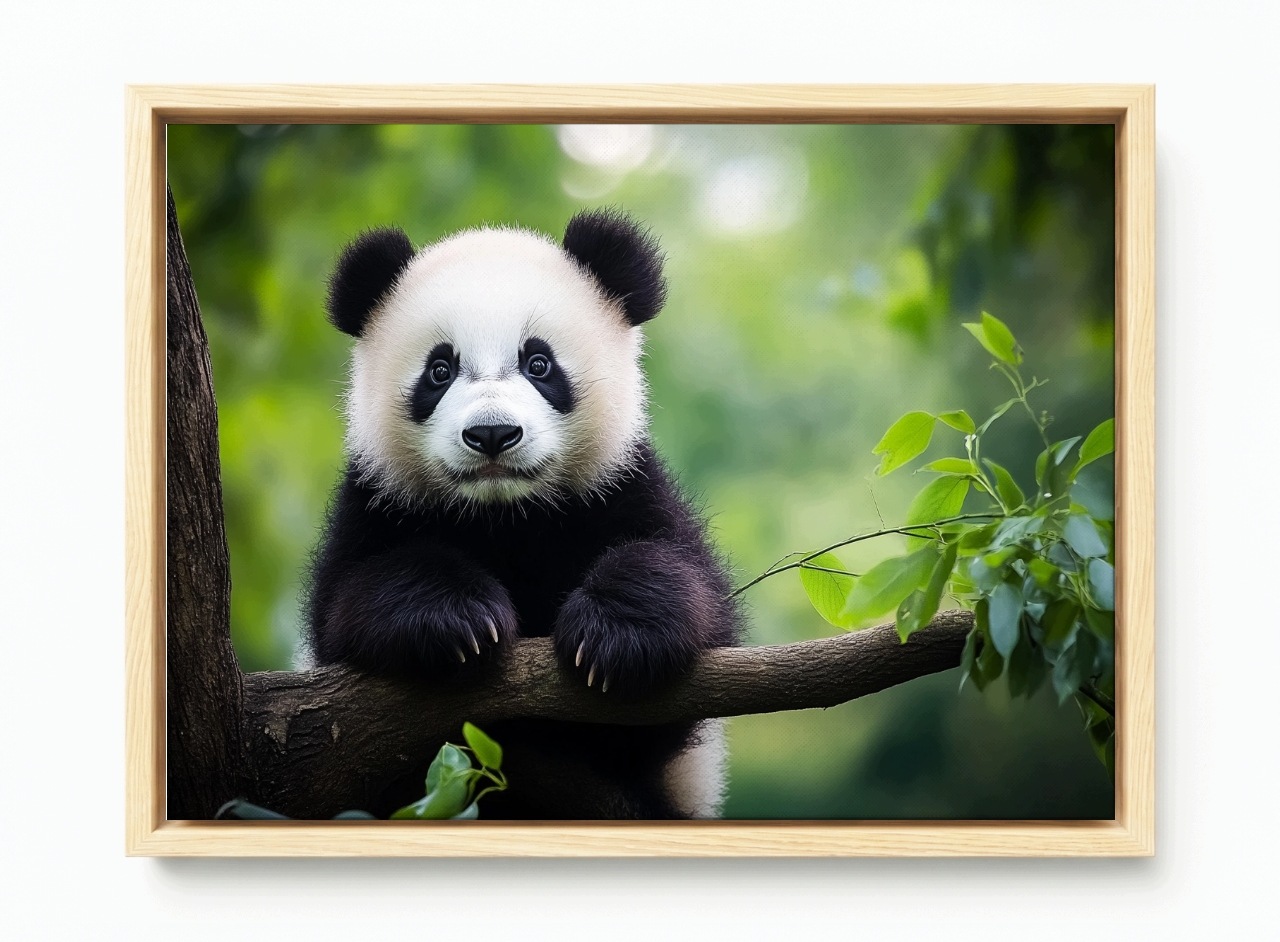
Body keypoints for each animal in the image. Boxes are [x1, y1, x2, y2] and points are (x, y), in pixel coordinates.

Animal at [304, 209, 743, 819]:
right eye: (439, 370)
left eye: (539, 363)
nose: (492, 434)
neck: (506, 515)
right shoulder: (378, 501)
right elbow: (349, 603)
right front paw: (460, 620)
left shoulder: (619, 485)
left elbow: (684, 582)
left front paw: (613, 635)